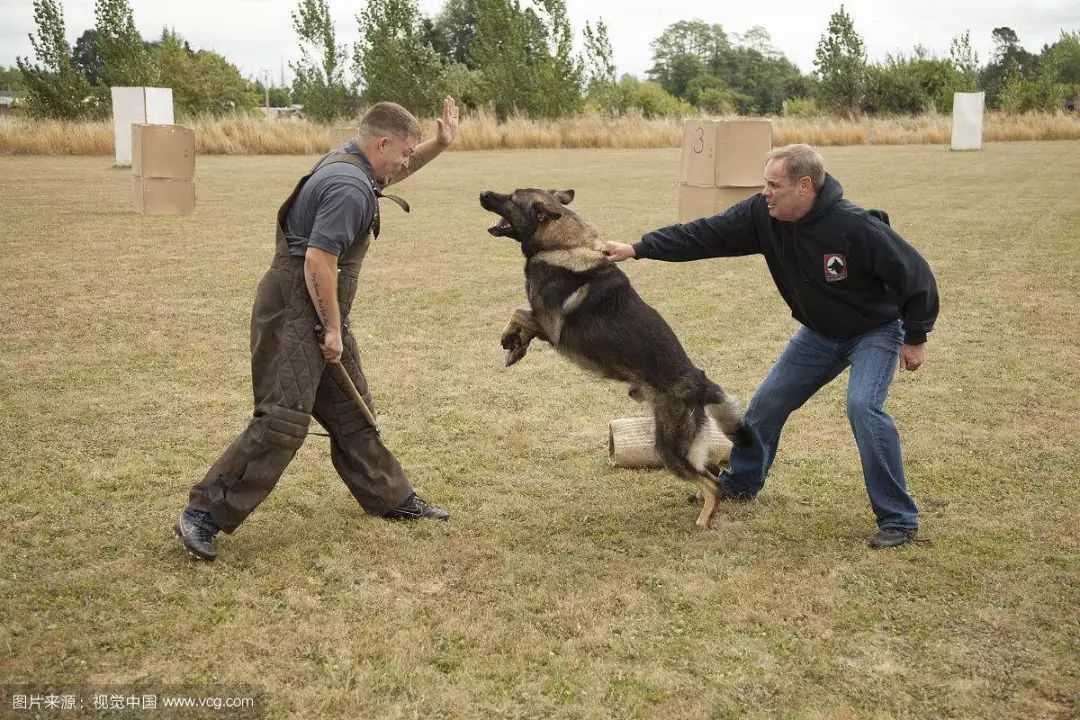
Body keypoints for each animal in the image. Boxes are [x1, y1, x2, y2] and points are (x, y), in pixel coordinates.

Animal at [483, 188, 751, 528]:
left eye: (512, 197)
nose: (483, 193)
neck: (562, 246)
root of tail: (700, 382)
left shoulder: (550, 326)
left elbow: (517, 311)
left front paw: (509, 340)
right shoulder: (542, 321)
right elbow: (520, 319)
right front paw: (515, 348)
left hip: (669, 447)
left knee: (714, 484)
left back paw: (703, 521)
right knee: (712, 471)